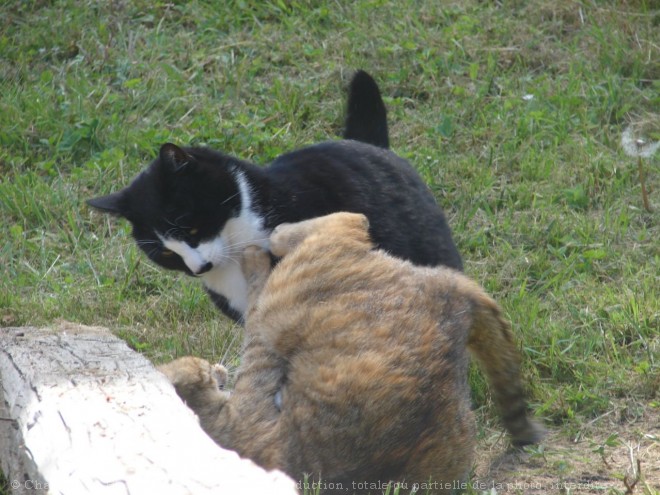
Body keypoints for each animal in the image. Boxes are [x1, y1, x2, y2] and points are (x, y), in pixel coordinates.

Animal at [160, 212, 540, 492]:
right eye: (206, 372)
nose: (217, 369)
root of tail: (450, 295)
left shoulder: (258, 359)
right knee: (343, 224)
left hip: (284, 302)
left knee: (345, 221)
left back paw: (266, 241)